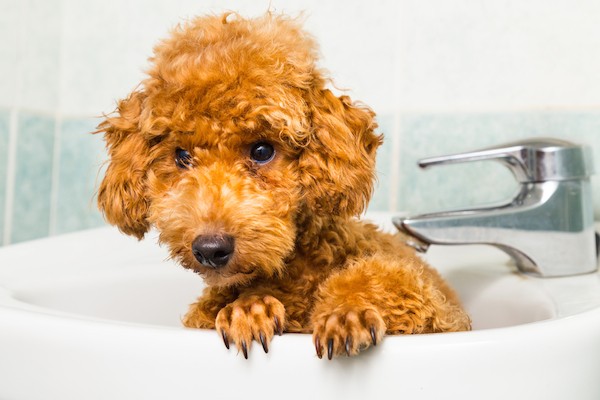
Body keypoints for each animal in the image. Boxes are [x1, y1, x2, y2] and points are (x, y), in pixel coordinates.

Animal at [96, 14, 472, 360]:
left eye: (262, 151)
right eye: (182, 156)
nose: (211, 249)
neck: (287, 271)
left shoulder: (441, 316)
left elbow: (386, 280)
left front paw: (346, 310)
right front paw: (250, 308)